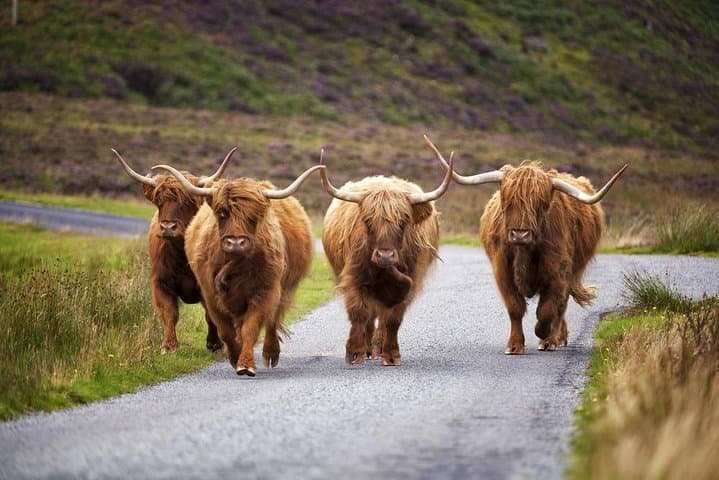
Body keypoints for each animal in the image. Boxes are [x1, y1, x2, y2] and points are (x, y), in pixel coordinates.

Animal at [113, 147, 236, 354]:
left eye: (187, 202)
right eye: (159, 201)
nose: (167, 227)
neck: (181, 254)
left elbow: (210, 315)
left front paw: (215, 344)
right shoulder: (160, 281)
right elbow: (169, 312)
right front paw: (169, 345)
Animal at [151, 161, 323, 376]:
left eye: (254, 216)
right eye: (221, 212)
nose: (235, 242)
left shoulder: (265, 291)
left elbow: (251, 326)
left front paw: (246, 364)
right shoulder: (210, 293)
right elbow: (224, 329)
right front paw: (234, 357)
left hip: (282, 289)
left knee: (272, 320)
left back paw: (270, 353)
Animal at [319, 137, 454, 366]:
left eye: (403, 221)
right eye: (367, 221)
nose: (385, 256)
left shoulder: (409, 282)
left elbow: (392, 319)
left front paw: (390, 354)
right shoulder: (354, 277)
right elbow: (359, 312)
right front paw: (355, 352)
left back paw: (378, 346)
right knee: (369, 314)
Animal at [427, 138, 627, 354]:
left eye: (541, 204)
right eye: (507, 201)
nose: (520, 234)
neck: (524, 252)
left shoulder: (558, 272)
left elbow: (547, 310)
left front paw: (545, 336)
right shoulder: (503, 272)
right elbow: (515, 308)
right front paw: (514, 346)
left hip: (573, 269)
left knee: (561, 306)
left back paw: (556, 338)